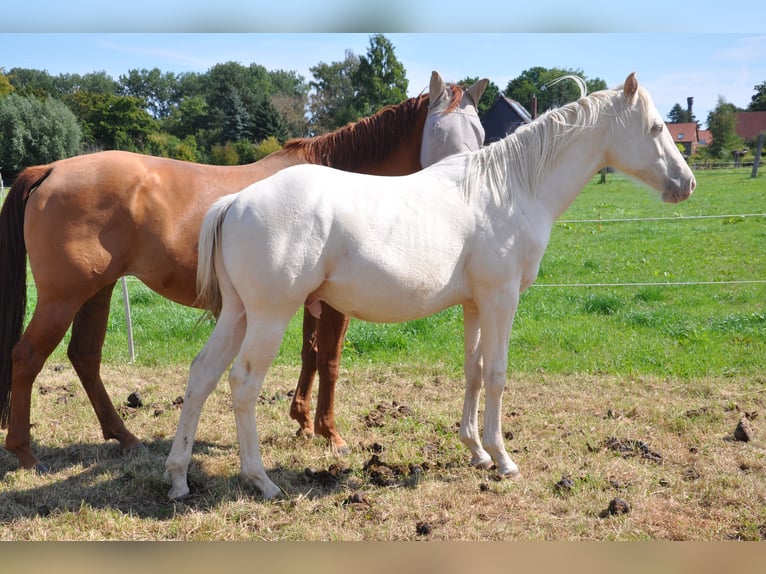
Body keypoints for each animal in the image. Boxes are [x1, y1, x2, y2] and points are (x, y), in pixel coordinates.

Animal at [0, 71, 488, 472]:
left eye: (481, 131)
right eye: (440, 130)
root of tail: (50, 169)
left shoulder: (308, 299)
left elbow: (310, 353)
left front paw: (302, 421)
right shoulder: (334, 304)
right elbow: (329, 359)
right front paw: (330, 433)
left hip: (97, 291)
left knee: (84, 356)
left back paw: (124, 436)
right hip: (63, 296)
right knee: (27, 357)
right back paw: (24, 452)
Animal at [164, 72, 695, 500]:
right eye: (656, 128)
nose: (686, 183)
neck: (510, 188)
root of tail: (236, 201)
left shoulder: (475, 305)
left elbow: (474, 372)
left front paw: (476, 450)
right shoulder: (502, 299)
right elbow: (497, 374)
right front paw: (503, 459)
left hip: (238, 315)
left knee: (201, 375)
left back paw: (178, 478)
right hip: (269, 318)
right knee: (242, 383)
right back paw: (261, 480)